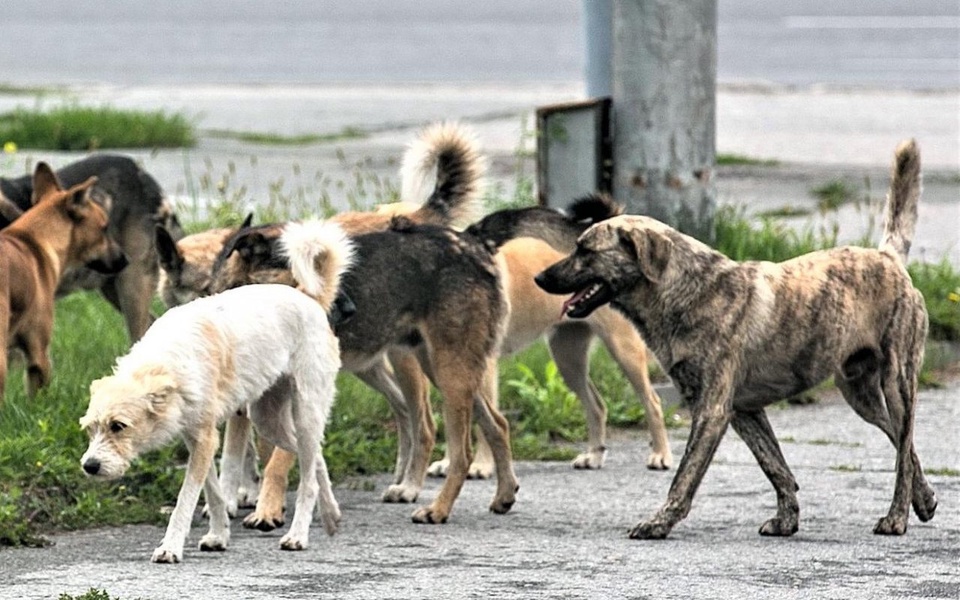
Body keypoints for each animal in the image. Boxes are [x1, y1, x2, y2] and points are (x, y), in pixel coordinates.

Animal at [79, 220, 356, 564]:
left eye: (118, 426)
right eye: (90, 429)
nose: (89, 466)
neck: (166, 363)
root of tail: (310, 298)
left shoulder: (205, 440)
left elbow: (186, 499)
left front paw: (171, 546)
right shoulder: (198, 439)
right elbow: (213, 493)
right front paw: (218, 535)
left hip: (304, 412)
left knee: (307, 480)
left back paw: (297, 535)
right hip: (268, 420)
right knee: (315, 458)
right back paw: (331, 514)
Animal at [540, 141, 936, 540]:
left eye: (585, 250)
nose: (539, 278)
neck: (687, 291)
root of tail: (887, 257)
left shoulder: (712, 412)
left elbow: (684, 477)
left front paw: (659, 522)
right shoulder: (744, 411)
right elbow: (775, 466)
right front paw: (787, 519)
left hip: (897, 383)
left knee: (903, 449)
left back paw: (897, 517)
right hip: (860, 394)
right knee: (903, 444)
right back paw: (924, 498)